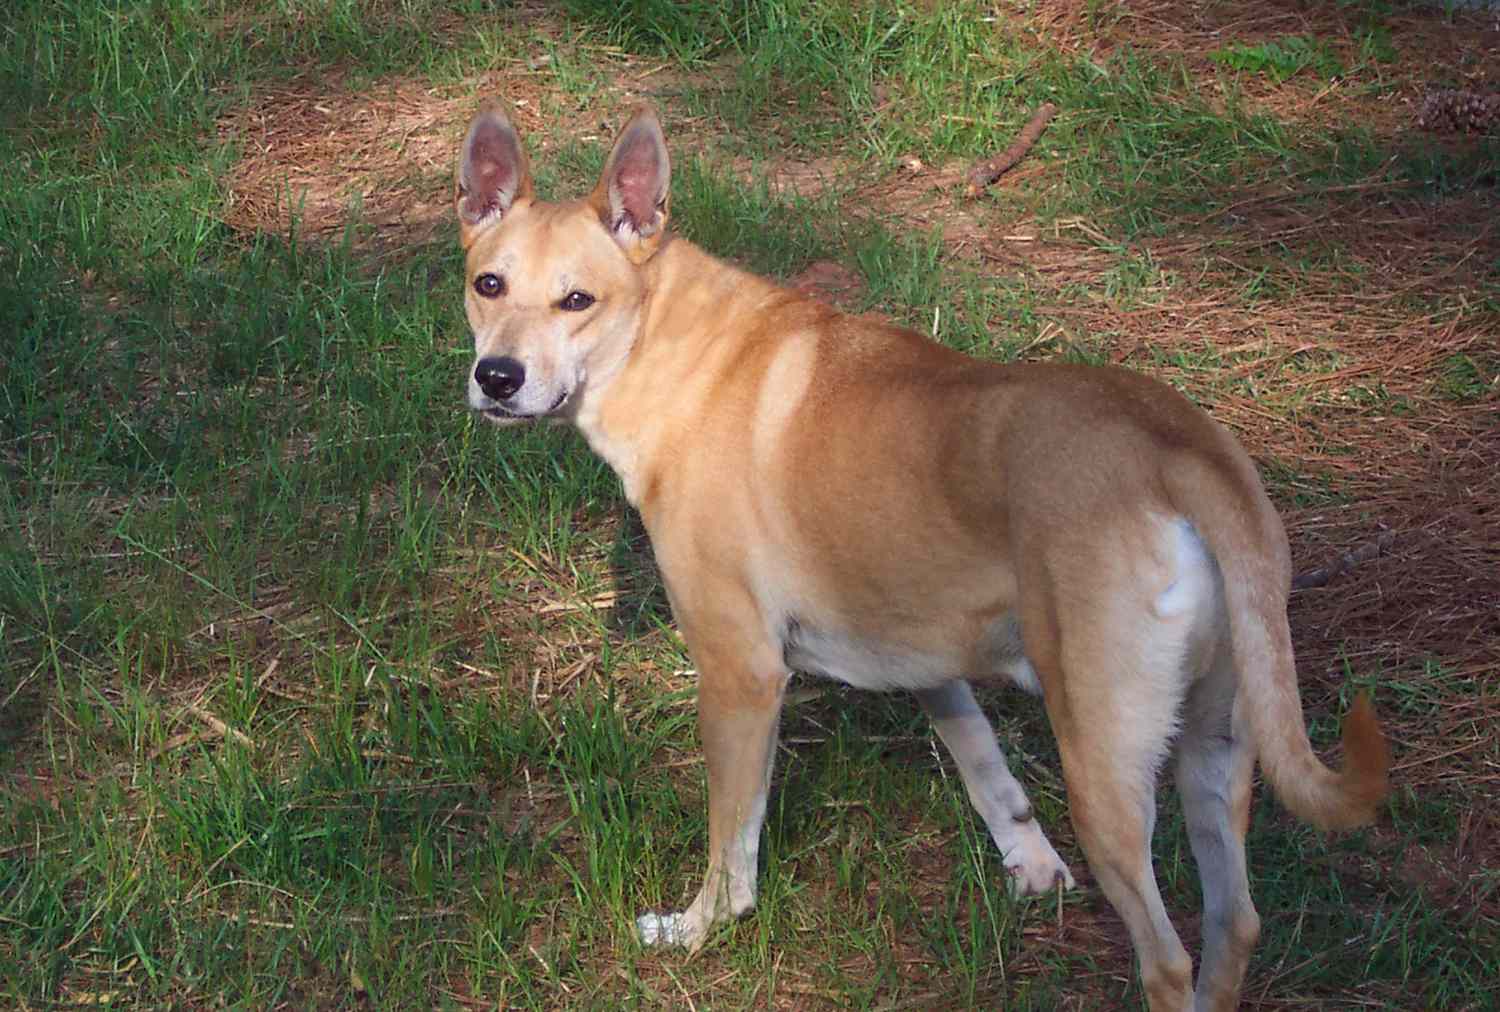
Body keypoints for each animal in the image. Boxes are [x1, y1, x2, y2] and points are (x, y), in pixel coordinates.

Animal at [450, 104, 1386, 1012]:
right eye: (487, 284)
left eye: (577, 300)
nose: (497, 377)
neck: (672, 348)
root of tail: (1180, 448)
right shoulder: (920, 648)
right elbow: (983, 762)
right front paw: (1029, 864)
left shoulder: (741, 675)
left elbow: (733, 846)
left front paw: (696, 928)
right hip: (1214, 752)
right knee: (1234, 926)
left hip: (1105, 768)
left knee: (1167, 962)